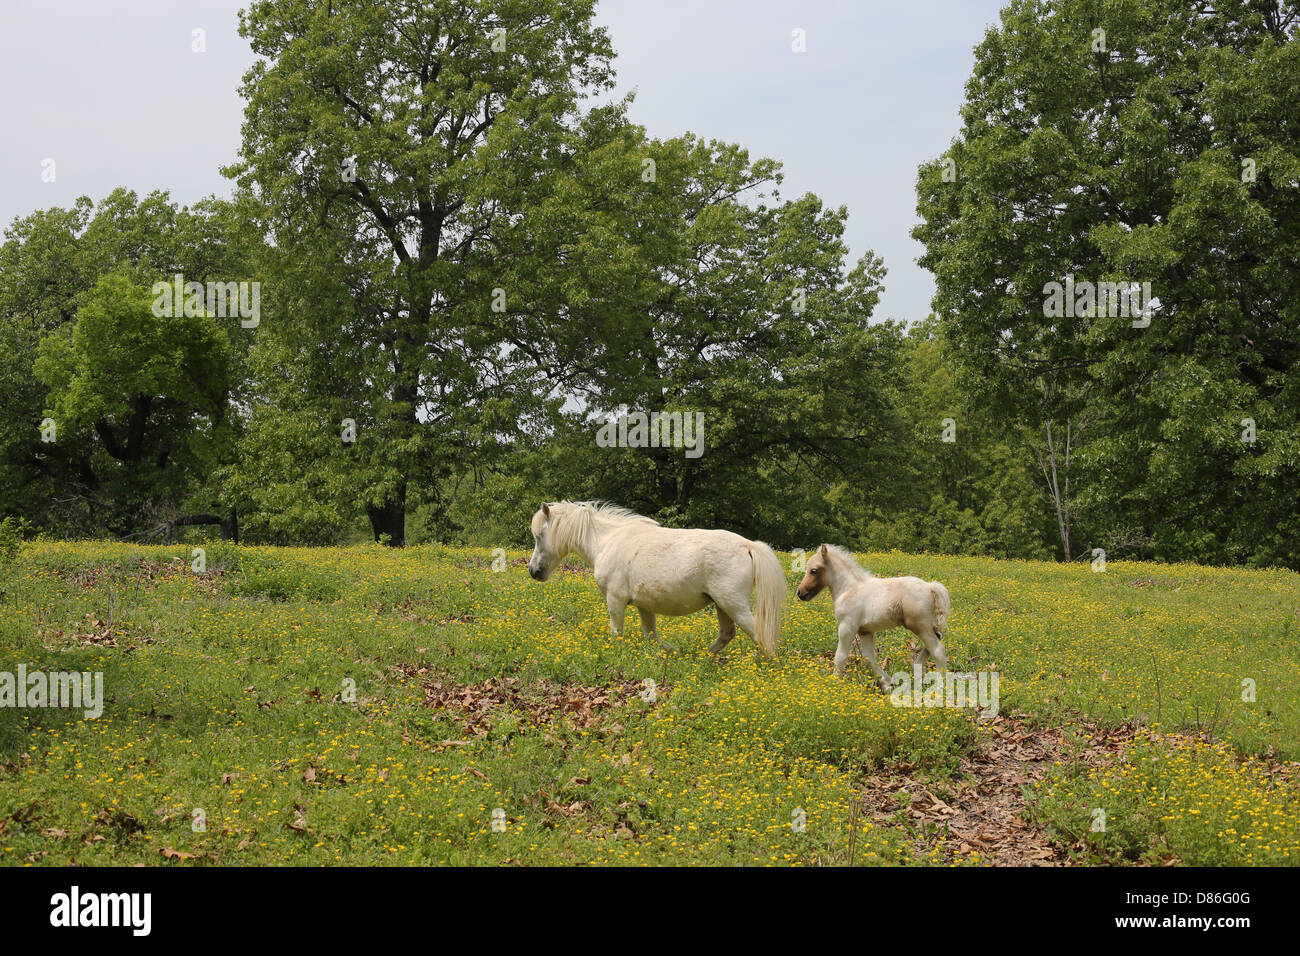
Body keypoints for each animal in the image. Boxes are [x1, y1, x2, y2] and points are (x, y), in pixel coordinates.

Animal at [526, 501, 785, 657]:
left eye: (539, 536)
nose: (534, 572)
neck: (607, 541)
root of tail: (748, 545)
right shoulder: (644, 606)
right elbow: (651, 635)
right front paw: (667, 652)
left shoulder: (615, 600)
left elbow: (617, 633)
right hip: (722, 605)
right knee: (726, 634)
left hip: (733, 604)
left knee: (759, 635)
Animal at [795, 544, 950, 690]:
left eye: (814, 570)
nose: (800, 593)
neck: (849, 589)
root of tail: (929, 586)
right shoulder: (865, 631)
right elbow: (869, 657)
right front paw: (888, 683)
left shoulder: (847, 626)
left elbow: (840, 656)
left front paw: (834, 683)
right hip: (925, 626)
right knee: (936, 641)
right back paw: (917, 673)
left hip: (919, 626)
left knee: (938, 650)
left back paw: (940, 686)